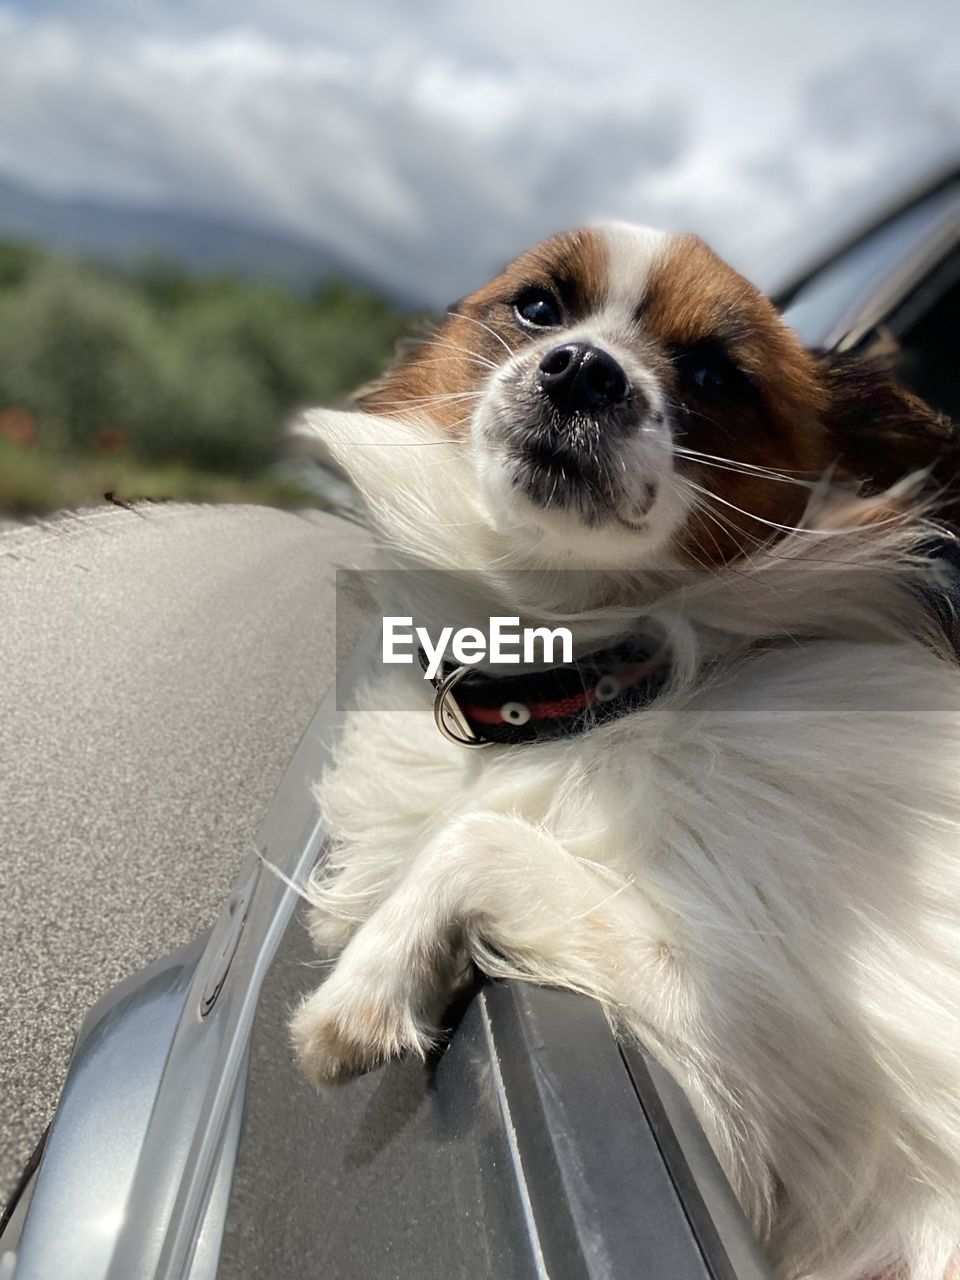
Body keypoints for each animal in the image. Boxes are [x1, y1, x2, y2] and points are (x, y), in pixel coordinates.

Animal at [289, 222, 960, 1280]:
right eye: (537, 307)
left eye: (717, 374)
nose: (582, 371)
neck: (596, 693)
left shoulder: (766, 1079)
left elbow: (478, 837)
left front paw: (361, 991)